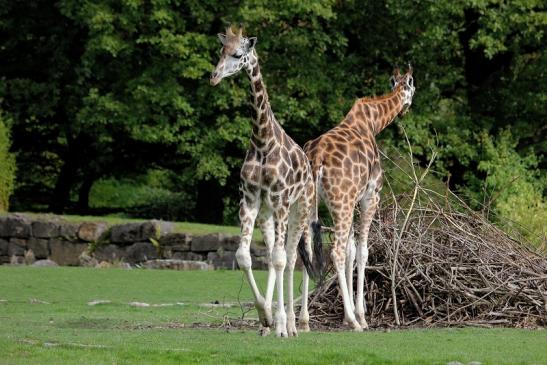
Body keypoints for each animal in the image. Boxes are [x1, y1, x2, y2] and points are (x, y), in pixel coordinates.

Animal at [211, 27, 318, 336]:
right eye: (220, 52)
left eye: (238, 54)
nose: (214, 77)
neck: (261, 140)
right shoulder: (250, 200)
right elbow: (245, 257)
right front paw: (265, 316)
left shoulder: (281, 200)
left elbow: (282, 259)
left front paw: (281, 324)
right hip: (268, 214)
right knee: (274, 255)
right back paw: (277, 321)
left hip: (301, 210)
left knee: (294, 258)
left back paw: (297, 323)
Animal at [302, 65, 414, 330]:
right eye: (413, 84)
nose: (407, 107)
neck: (372, 122)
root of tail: (316, 158)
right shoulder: (369, 196)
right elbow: (362, 251)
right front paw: (360, 316)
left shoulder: (352, 201)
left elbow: (351, 251)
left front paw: (347, 313)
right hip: (340, 202)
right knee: (335, 251)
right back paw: (354, 322)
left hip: (310, 203)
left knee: (305, 250)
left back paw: (301, 320)